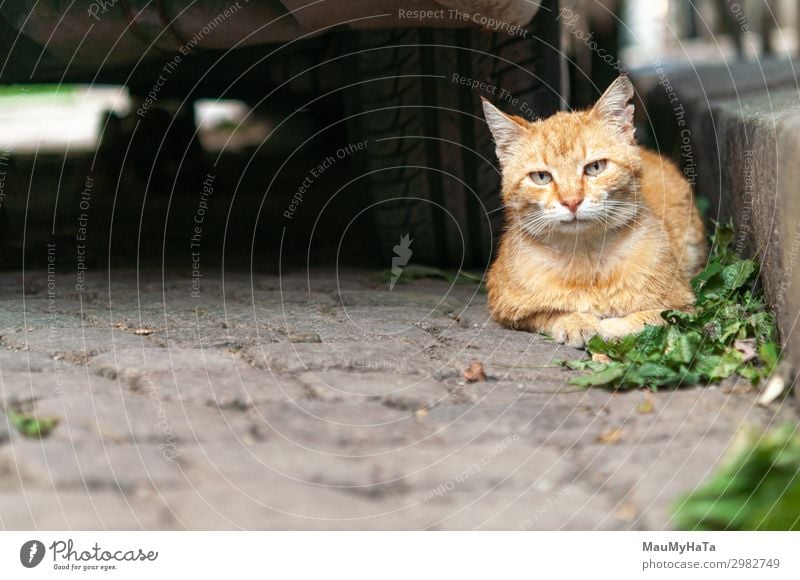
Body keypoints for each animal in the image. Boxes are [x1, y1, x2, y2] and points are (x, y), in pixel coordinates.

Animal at [482, 77, 708, 348]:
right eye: (542, 177)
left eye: (595, 167)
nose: (571, 201)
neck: (586, 260)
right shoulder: (507, 309)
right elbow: (550, 313)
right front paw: (577, 322)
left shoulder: (685, 308)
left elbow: (650, 318)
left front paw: (613, 325)